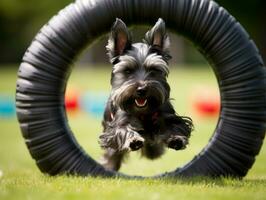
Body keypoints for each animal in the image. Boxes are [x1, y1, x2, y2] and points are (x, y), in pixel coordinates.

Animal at [98, 18, 192, 170]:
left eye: (153, 70)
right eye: (128, 70)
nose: (141, 89)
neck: (143, 112)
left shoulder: (168, 115)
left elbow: (175, 125)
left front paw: (176, 139)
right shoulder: (117, 125)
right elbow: (123, 130)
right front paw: (134, 140)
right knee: (112, 155)